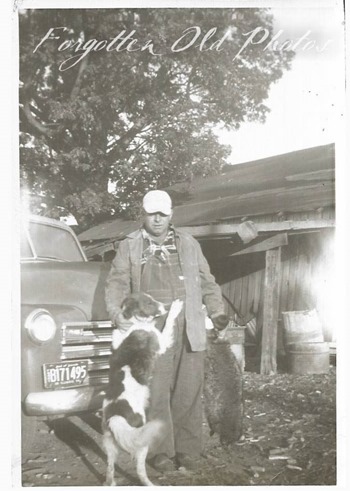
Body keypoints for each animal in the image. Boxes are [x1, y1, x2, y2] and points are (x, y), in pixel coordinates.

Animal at [101, 294, 183, 486]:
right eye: (149, 302)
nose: (165, 305)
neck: (133, 323)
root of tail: (116, 415)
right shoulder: (161, 342)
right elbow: (169, 322)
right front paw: (175, 308)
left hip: (110, 444)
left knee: (109, 471)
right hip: (141, 439)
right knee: (140, 470)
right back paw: (150, 484)